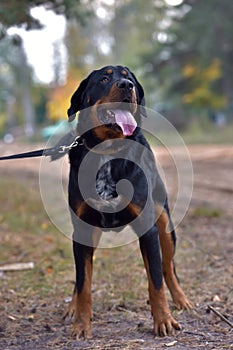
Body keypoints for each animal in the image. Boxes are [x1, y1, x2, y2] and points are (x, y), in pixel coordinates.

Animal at [62, 64, 193, 338]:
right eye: (103, 79)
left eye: (129, 77)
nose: (126, 86)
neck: (108, 152)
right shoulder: (82, 230)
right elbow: (84, 283)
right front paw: (81, 323)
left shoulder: (148, 229)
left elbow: (156, 280)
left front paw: (163, 320)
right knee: (80, 278)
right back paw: (72, 306)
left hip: (165, 226)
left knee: (168, 268)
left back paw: (181, 299)